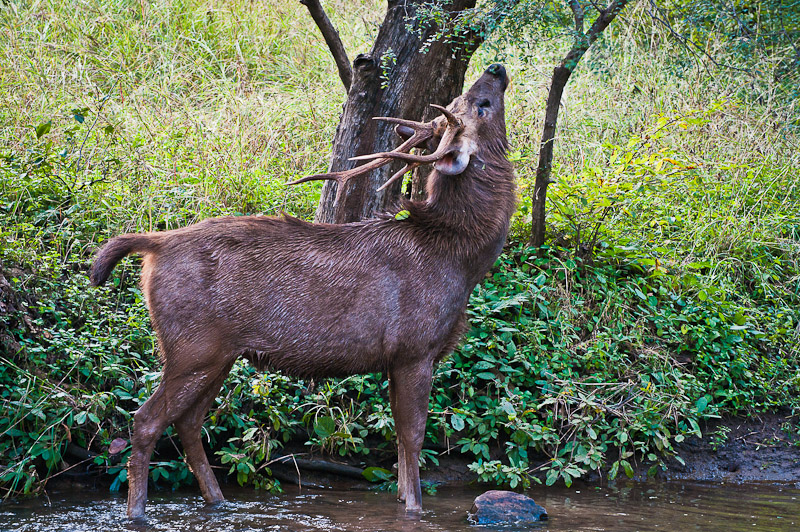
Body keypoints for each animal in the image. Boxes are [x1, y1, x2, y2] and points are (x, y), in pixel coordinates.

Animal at [90, 64, 516, 516]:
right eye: (480, 105)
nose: (496, 69)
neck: (459, 258)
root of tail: (154, 243)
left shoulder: (398, 358)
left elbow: (400, 446)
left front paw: (402, 496)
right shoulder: (414, 348)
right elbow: (413, 436)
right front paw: (415, 509)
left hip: (218, 353)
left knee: (189, 422)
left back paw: (218, 500)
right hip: (192, 346)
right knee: (146, 420)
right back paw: (138, 512)